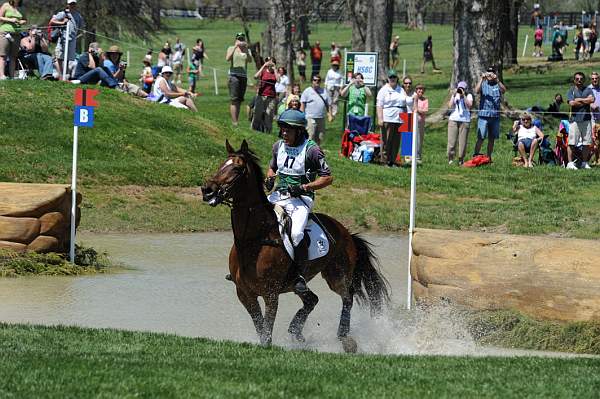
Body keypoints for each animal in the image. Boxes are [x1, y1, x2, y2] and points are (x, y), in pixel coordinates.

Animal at [202, 141, 390, 354]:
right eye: (221, 165)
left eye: (237, 168)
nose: (207, 190)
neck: (252, 241)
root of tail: (347, 232)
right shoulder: (244, 294)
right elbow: (259, 326)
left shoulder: (270, 294)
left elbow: (266, 330)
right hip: (298, 283)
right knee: (312, 299)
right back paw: (296, 331)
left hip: (337, 276)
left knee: (347, 297)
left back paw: (346, 339)